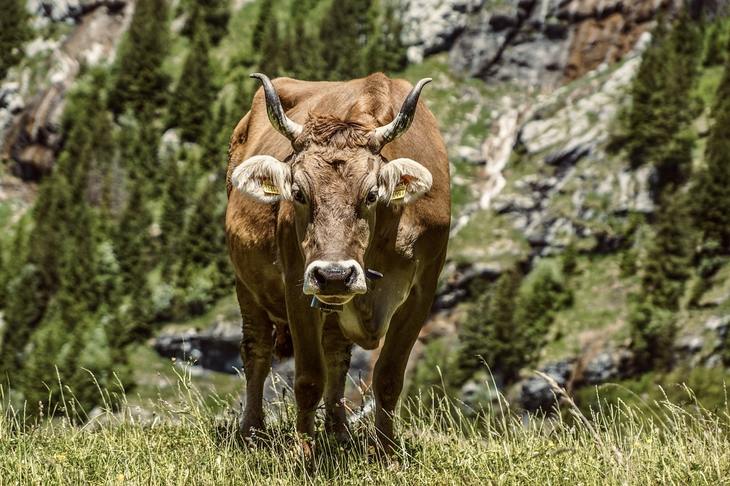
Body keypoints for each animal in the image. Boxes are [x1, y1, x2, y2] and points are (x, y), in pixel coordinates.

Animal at [225, 72, 446, 452]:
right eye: (298, 193)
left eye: (371, 194)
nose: (333, 275)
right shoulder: (297, 284)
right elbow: (308, 379)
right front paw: (303, 452)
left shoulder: (423, 291)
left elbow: (388, 377)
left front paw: (386, 453)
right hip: (247, 282)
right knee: (257, 349)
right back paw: (252, 432)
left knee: (337, 355)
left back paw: (338, 430)